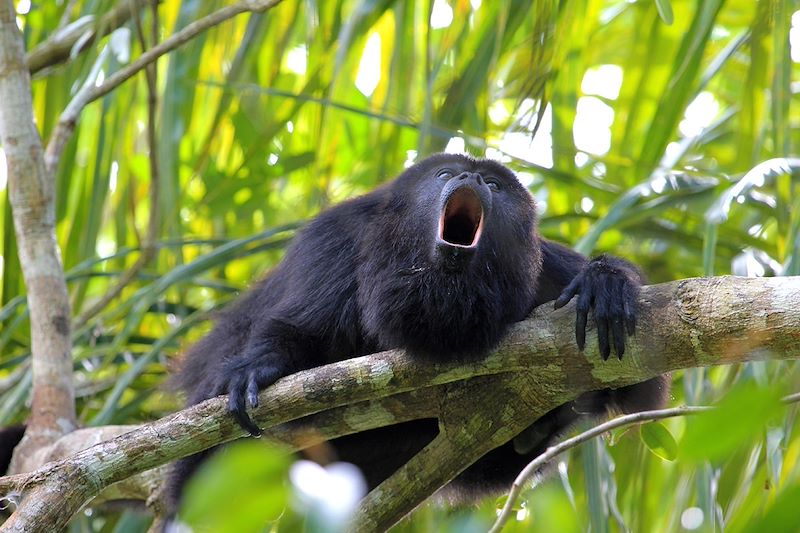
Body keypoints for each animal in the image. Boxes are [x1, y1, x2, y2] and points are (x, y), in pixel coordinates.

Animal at [160, 152, 669, 507]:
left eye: (494, 184)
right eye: (445, 175)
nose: (471, 179)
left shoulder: (544, 268)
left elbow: (641, 385)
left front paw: (605, 282)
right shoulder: (336, 239)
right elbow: (297, 329)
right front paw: (260, 366)